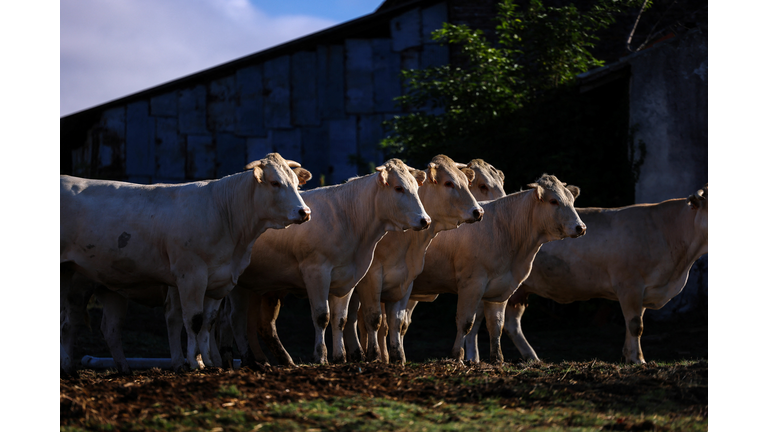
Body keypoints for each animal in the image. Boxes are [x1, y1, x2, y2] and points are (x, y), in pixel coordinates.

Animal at [60, 154, 310, 372]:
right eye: (275, 183)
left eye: (296, 183)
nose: (305, 211)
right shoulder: (191, 275)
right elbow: (193, 320)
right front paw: (193, 363)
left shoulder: (219, 281)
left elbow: (208, 322)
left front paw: (208, 361)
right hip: (76, 283)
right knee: (69, 323)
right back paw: (67, 366)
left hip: (107, 288)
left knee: (108, 327)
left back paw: (123, 369)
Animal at [232, 159, 432, 364]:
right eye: (399, 188)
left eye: (416, 187)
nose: (425, 220)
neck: (349, 220)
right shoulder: (316, 272)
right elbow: (322, 316)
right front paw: (321, 356)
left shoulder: (348, 278)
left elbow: (340, 319)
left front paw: (339, 356)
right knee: (235, 319)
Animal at [402, 174, 588, 362]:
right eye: (553, 201)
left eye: (571, 200)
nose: (581, 227)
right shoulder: (471, 284)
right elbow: (465, 322)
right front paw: (457, 356)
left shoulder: (501, 289)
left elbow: (496, 324)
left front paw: (497, 358)